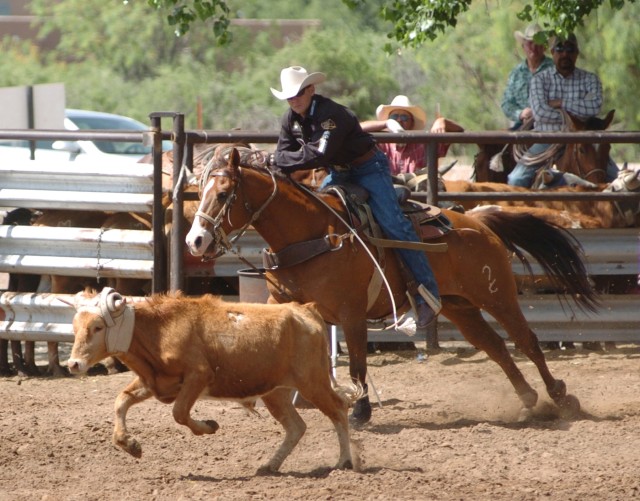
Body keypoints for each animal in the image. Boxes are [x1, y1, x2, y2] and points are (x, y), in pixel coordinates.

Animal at [67, 290, 362, 472]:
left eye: (97, 327)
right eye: (75, 327)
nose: (73, 364)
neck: (159, 329)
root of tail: (306, 312)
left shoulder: (199, 375)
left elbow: (179, 413)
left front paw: (209, 426)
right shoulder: (155, 381)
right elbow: (121, 401)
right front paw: (129, 444)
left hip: (312, 382)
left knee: (338, 409)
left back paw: (345, 462)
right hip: (275, 392)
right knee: (296, 427)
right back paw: (270, 465)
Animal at [185, 147, 600, 422]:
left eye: (223, 194)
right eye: (200, 192)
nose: (196, 241)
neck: (314, 234)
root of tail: (480, 222)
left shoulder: (351, 313)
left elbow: (357, 364)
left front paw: (361, 411)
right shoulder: (282, 304)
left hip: (496, 294)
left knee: (526, 341)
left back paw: (560, 397)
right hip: (460, 306)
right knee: (495, 347)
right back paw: (529, 398)